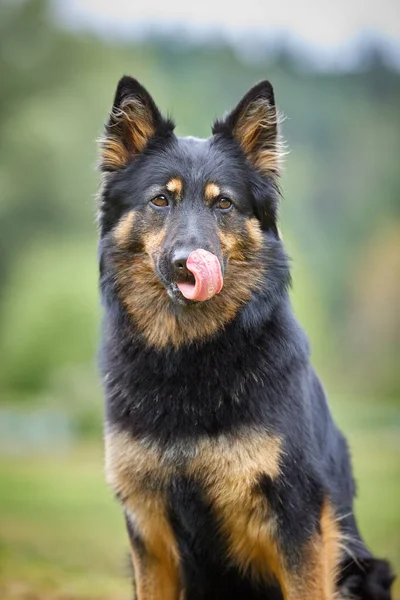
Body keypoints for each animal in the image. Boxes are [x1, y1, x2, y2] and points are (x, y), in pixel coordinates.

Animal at [97, 77, 394, 596]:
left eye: (223, 204)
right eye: (161, 200)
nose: (187, 264)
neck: (189, 355)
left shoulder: (298, 519)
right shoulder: (148, 532)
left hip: (364, 568)